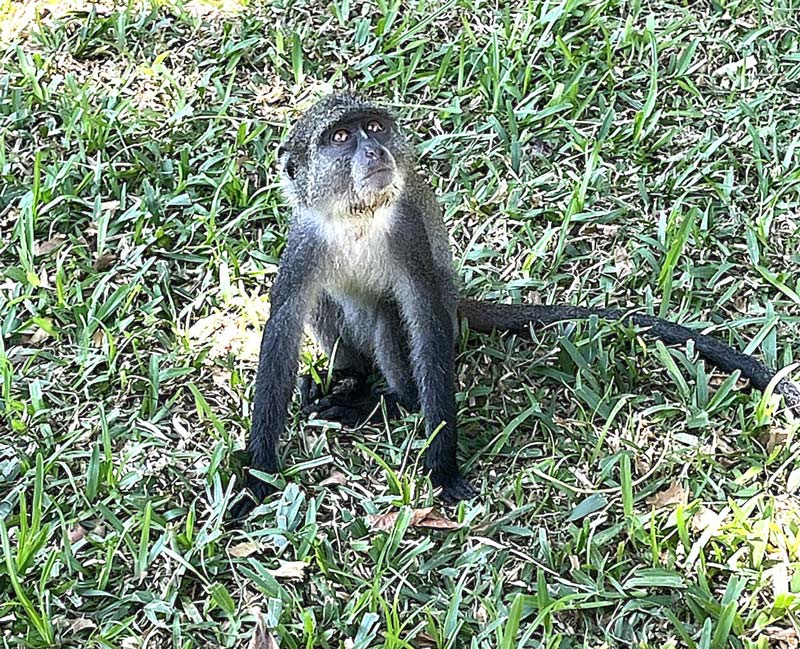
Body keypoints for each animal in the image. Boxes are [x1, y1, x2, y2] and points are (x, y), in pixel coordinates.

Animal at [229, 92, 800, 518]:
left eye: (373, 127)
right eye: (342, 137)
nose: (374, 153)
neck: (357, 218)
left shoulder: (407, 234)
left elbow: (424, 322)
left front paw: (443, 466)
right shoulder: (305, 244)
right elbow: (283, 327)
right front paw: (257, 472)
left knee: (392, 316)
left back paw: (385, 400)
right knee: (328, 304)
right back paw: (347, 380)